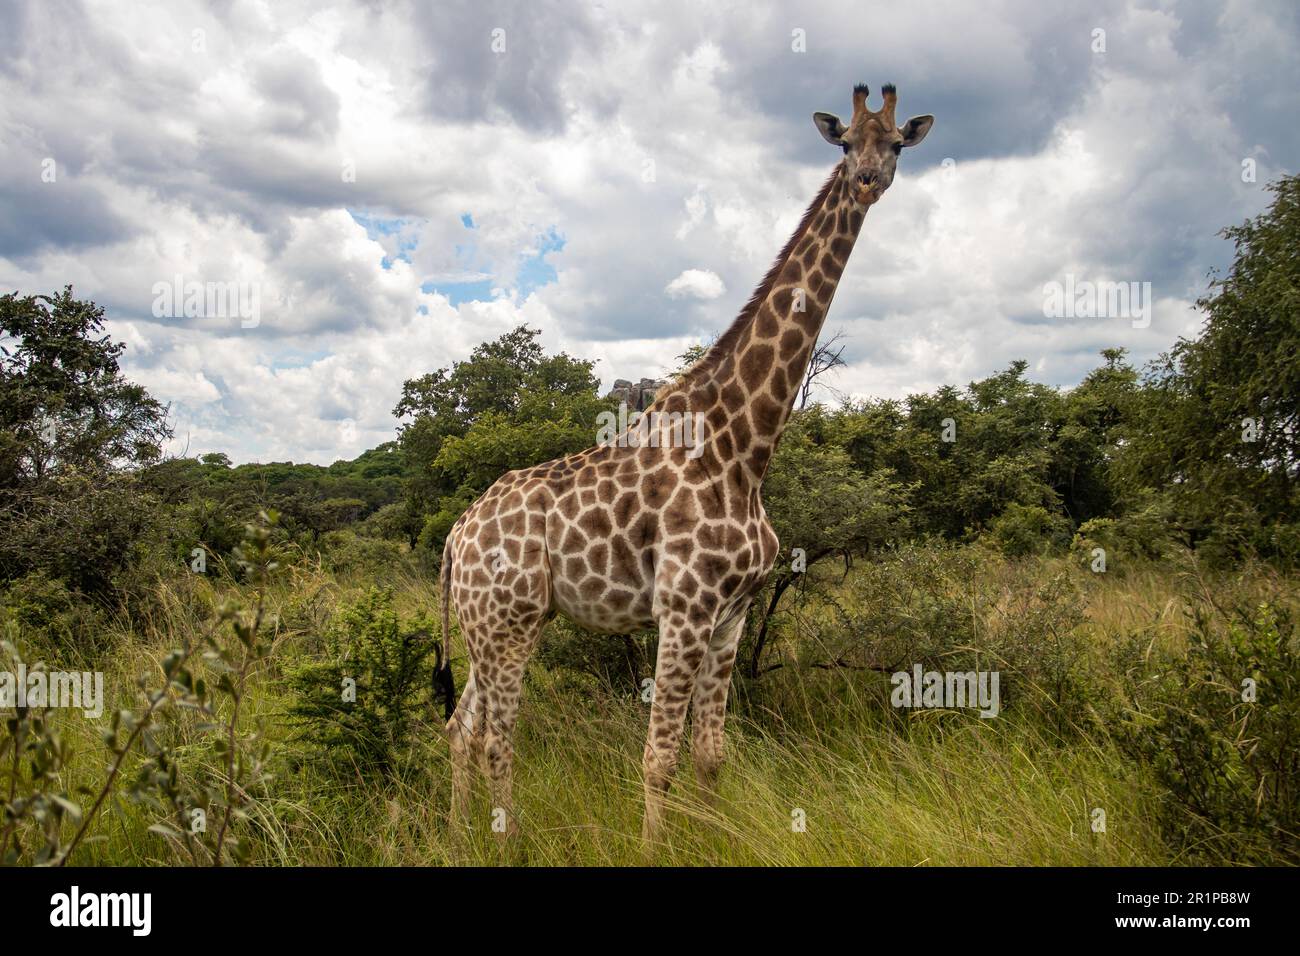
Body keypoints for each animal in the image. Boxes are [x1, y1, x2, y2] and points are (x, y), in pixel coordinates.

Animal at [438, 83, 933, 842]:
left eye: (899, 142)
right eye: (847, 142)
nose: (869, 180)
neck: (744, 448)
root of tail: (455, 536)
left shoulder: (731, 615)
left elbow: (710, 754)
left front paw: (712, 837)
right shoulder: (683, 607)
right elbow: (657, 759)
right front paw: (655, 847)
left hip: (490, 623)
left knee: (461, 729)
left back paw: (461, 833)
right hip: (507, 622)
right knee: (496, 735)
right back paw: (507, 840)